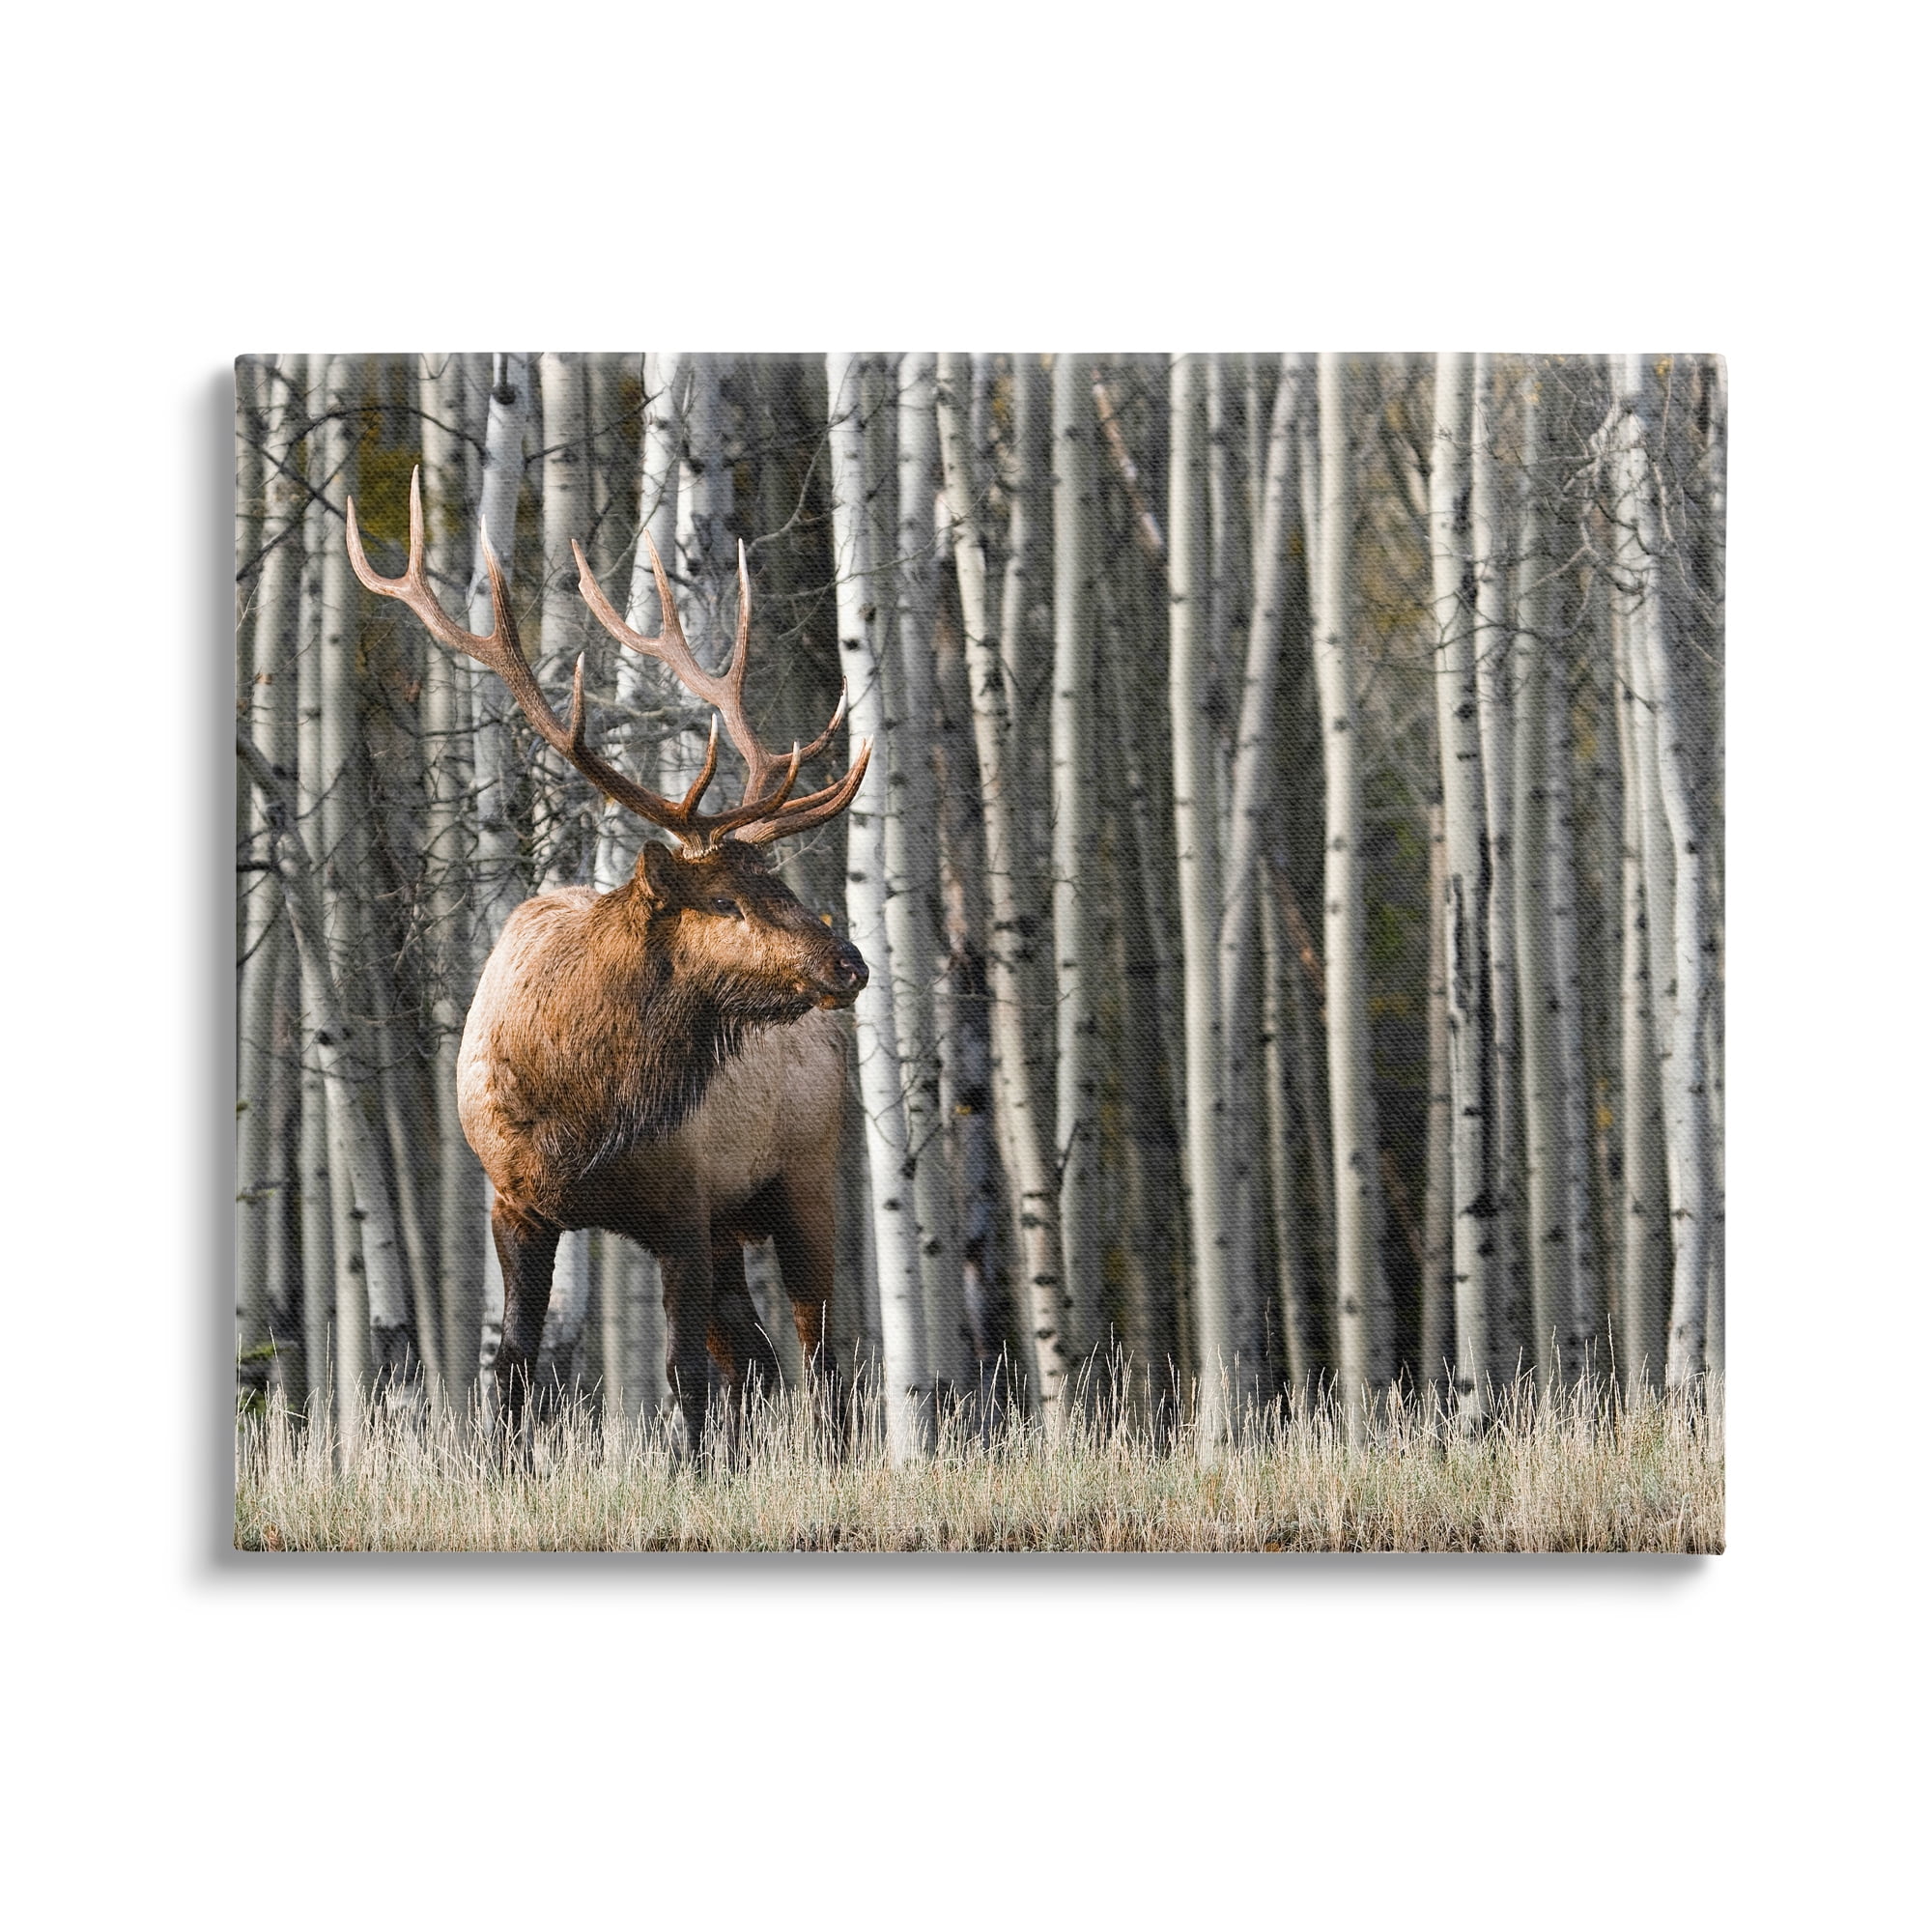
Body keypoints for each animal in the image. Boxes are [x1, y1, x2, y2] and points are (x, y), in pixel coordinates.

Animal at [345, 470, 872, 1449]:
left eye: (777, 879)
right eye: (725, 900)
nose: (847, 963)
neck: (581, 1111)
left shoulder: (683, 1205)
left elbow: (684, 1380)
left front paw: (690, 1472)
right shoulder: (517, 1202)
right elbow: (515, 1367)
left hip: (805, 1180)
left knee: (823, 1361)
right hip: (738, 1224)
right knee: (761, 1361)